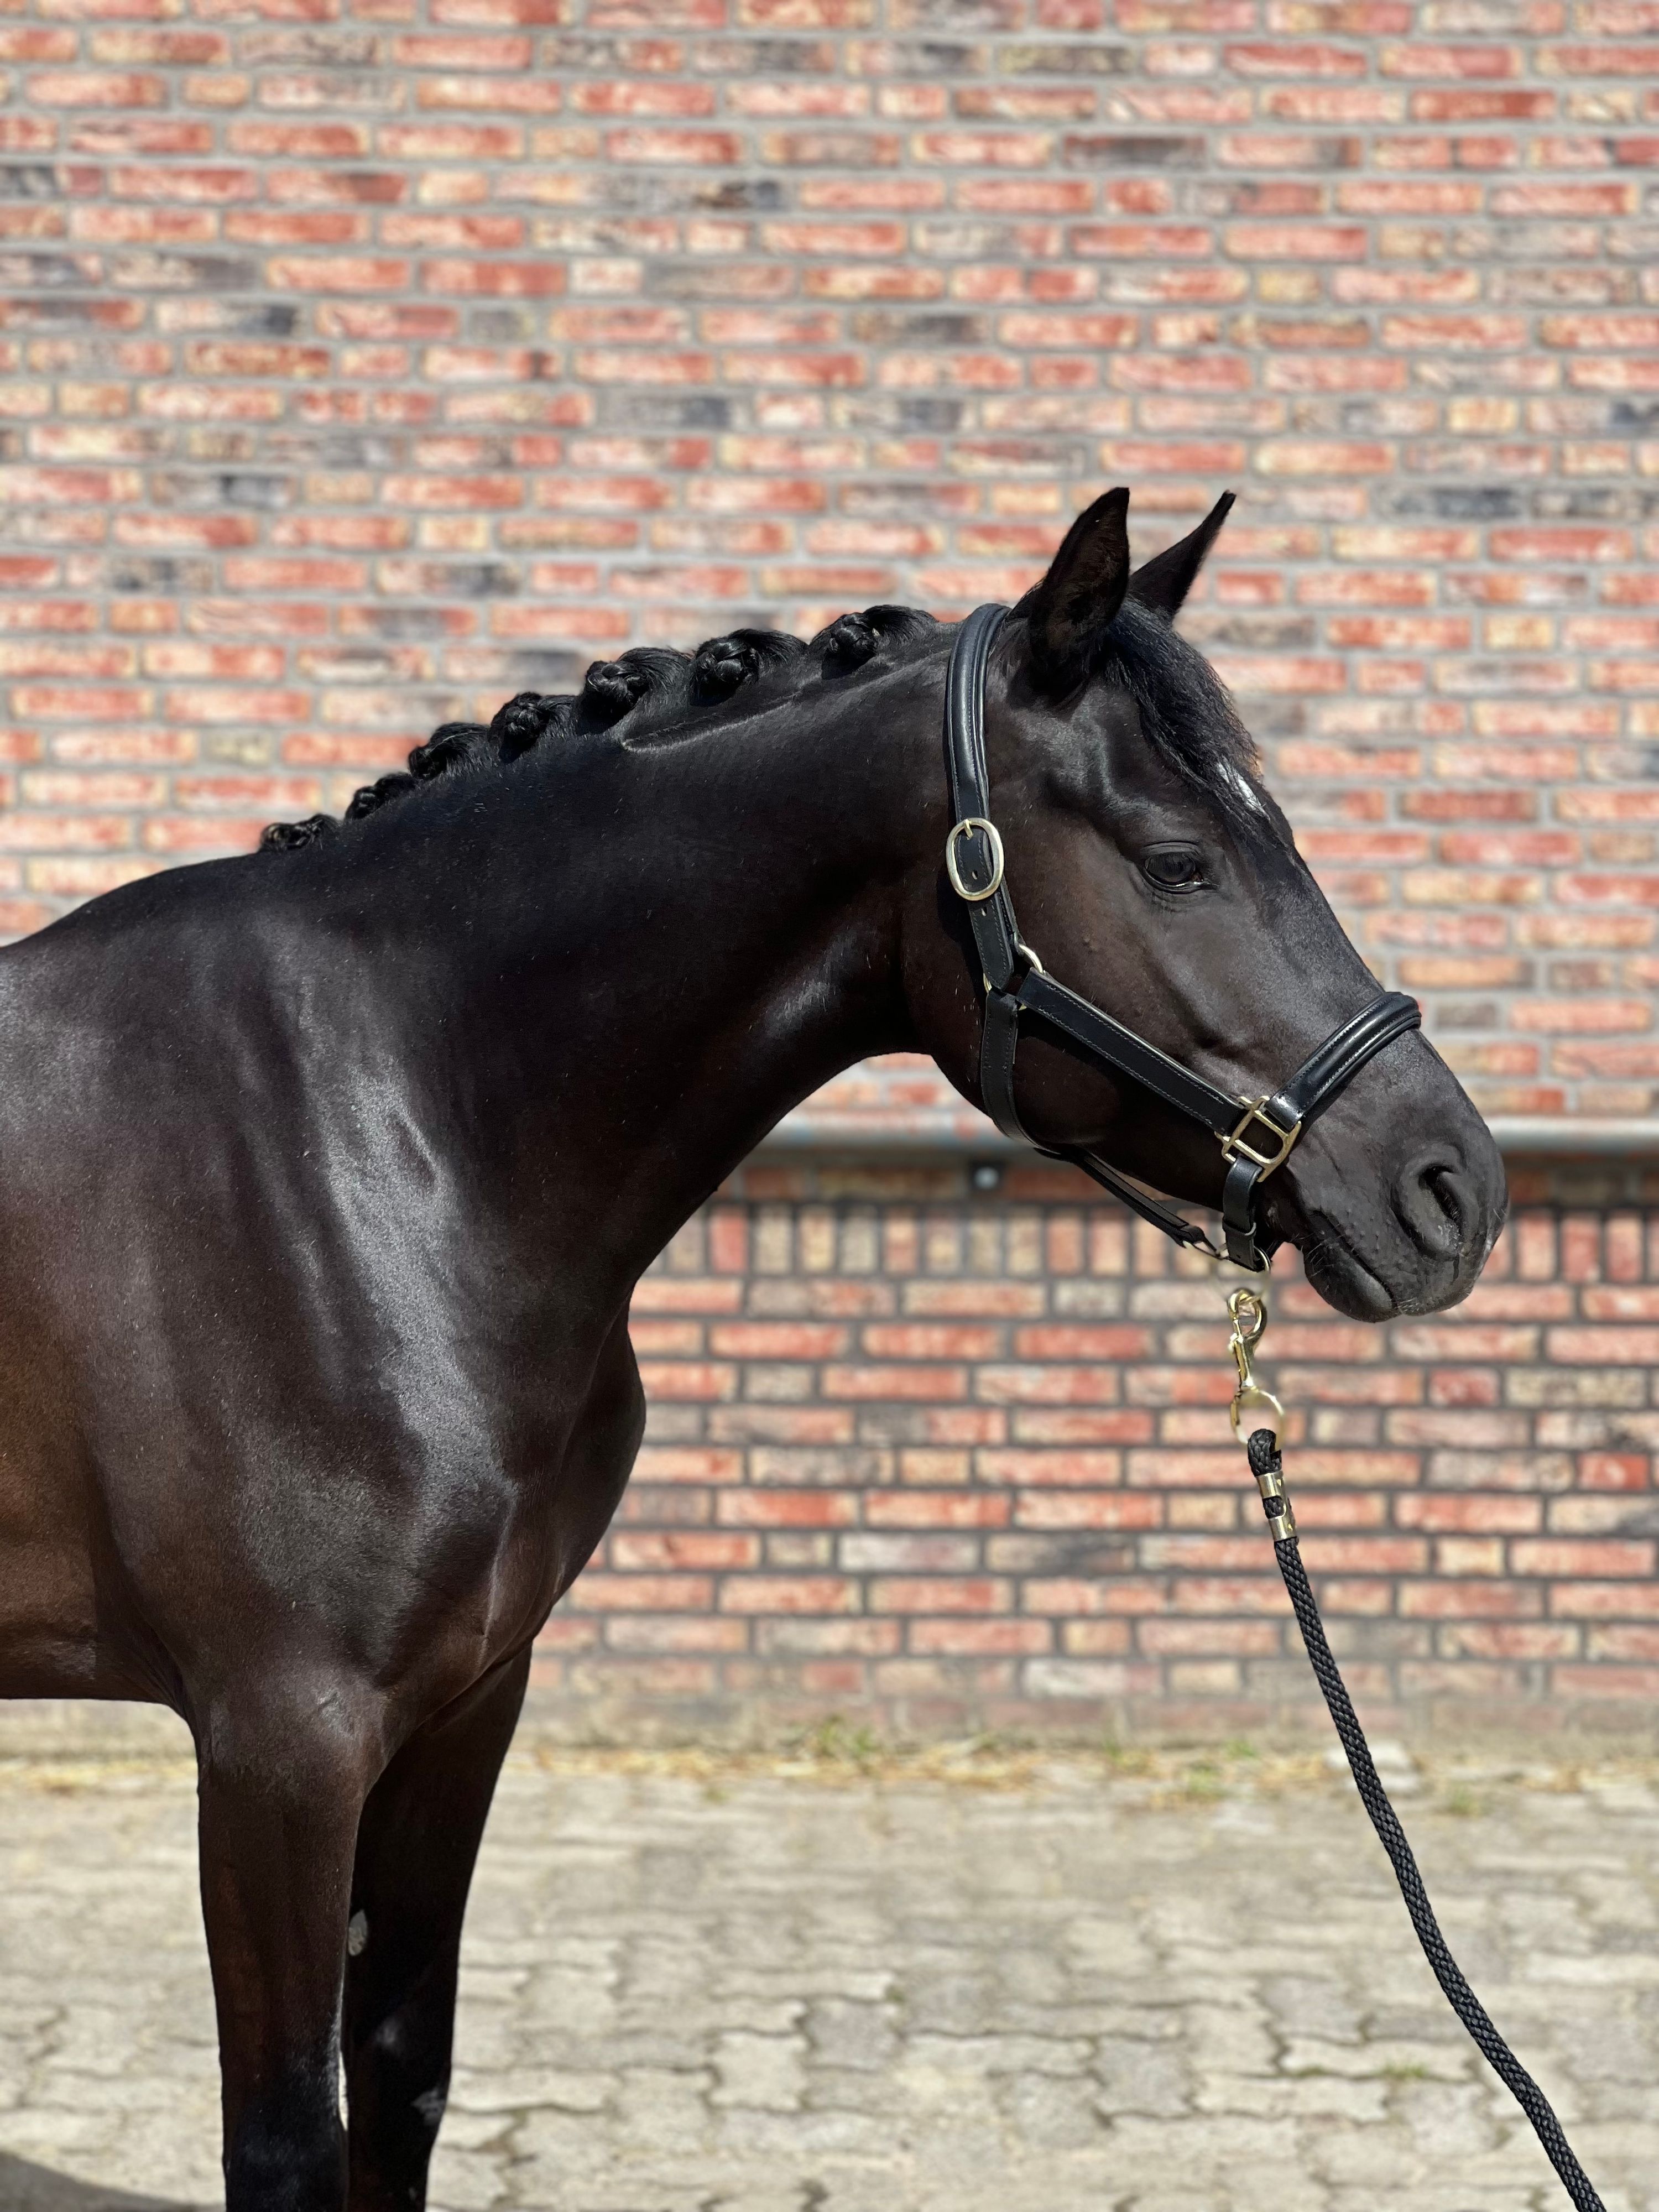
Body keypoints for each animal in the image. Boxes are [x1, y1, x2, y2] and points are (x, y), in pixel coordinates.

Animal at [0, 486, 1506, 2210]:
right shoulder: (279, 1747)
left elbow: (402, 2082)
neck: (369, 1132)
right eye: (1180, 861)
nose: (1452, 1187)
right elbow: (287, 2140)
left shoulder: (462, 1704)